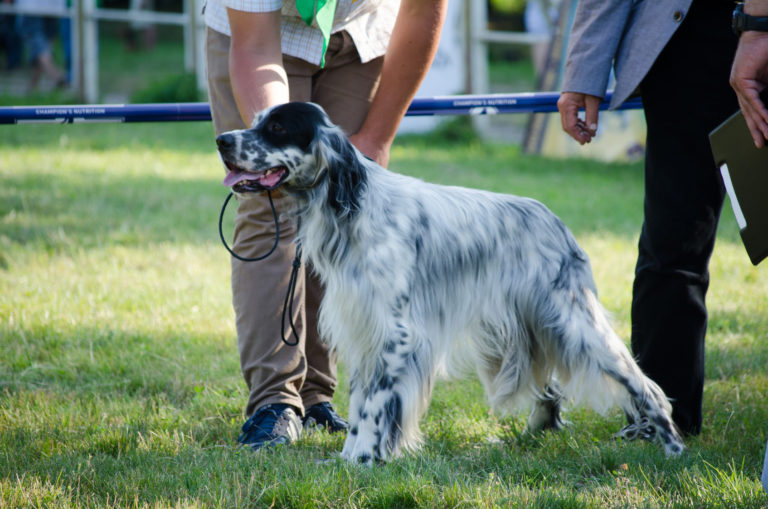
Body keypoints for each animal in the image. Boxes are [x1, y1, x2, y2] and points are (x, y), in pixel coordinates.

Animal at [214, 101, 684, 462]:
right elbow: (363, 403)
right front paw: (353, 455)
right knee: (549, 389)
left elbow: (374, 407)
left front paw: (362, 459)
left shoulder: (395, 335)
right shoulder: (364, 332)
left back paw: (673, 448)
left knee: (644, 385)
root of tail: (556, 223)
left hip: (573, 322)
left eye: (277, 127)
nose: (221, 140)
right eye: (258, 120)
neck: (353, 207)